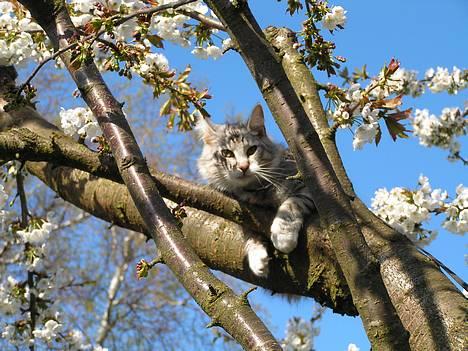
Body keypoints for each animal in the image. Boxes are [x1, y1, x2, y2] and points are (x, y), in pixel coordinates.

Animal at [195, 104, 314, 278]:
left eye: (252, 150)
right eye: (227, 153)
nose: (243, 167)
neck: (255, 190)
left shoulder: (310, 188)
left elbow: (290, 204)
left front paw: (283, 236)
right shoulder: (241, 214)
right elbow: (250, 234)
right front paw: (257, 258)